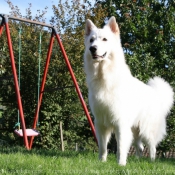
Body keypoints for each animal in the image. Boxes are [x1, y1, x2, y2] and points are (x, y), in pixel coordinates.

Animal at [84, 16, 174, 165]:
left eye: (104, 39)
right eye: (91, 40)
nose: (92, 48)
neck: (104, 76)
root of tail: (155, 93)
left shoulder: (120, 123)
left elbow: (121, 146)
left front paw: (121, 164)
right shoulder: (100, 122)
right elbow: (103, 147)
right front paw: (102, 162)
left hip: (146, 129)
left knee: (152, 146)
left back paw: (152, 161)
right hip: (135, 129)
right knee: (140, 147)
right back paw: (138, 160)